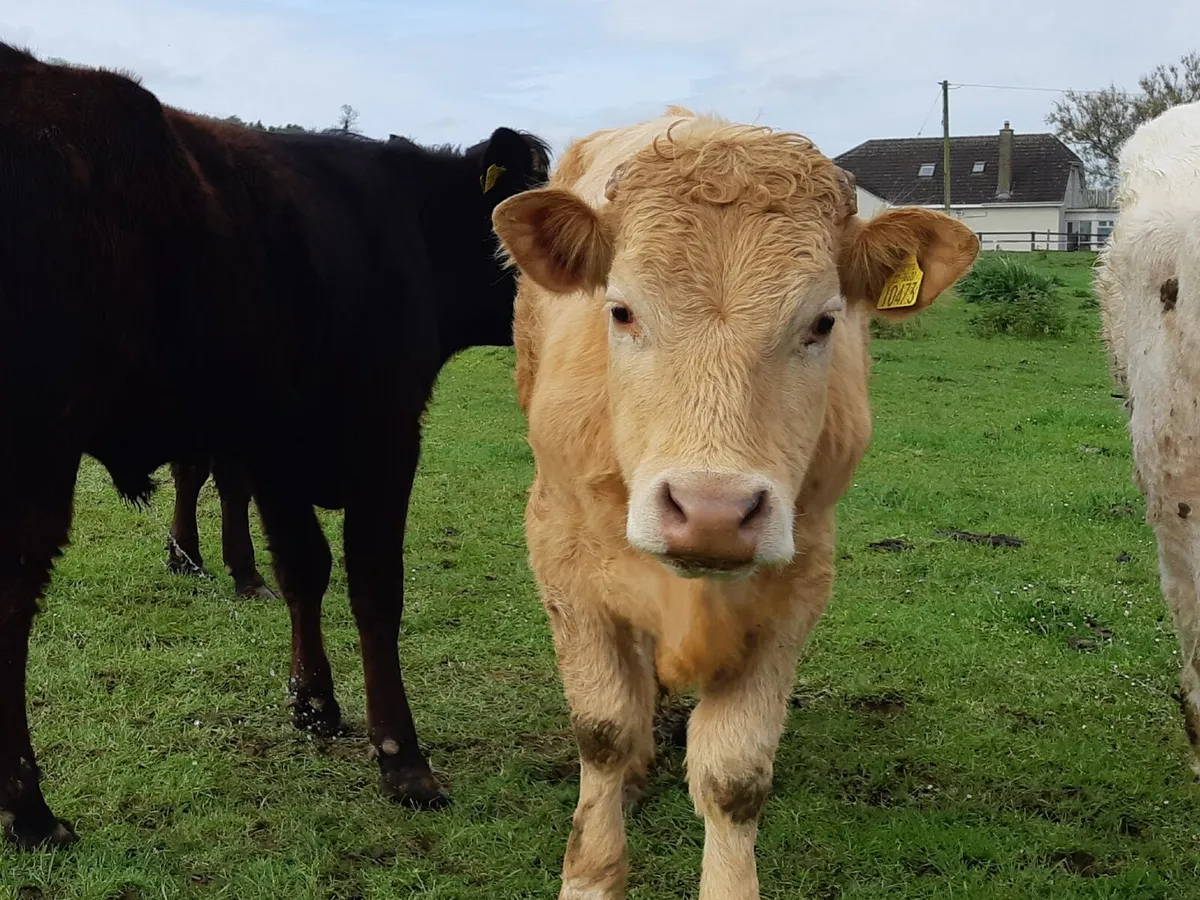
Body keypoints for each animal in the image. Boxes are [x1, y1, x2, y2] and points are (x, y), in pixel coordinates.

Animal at [0, 43, 550, 849]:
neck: (408, 231)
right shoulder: (386, 434)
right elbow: (373, 587)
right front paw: (402, 759)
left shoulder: (277, 443)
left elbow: (303, 569)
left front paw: (314, 703)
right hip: (38, 443)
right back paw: (30, 810)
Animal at [491, 107, 979, 899]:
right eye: (621, 310)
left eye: (823, 322)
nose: (711, 511)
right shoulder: (560, 552)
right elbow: (602, 729)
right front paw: (592, 871)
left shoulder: (799, 581)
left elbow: (734, 775)